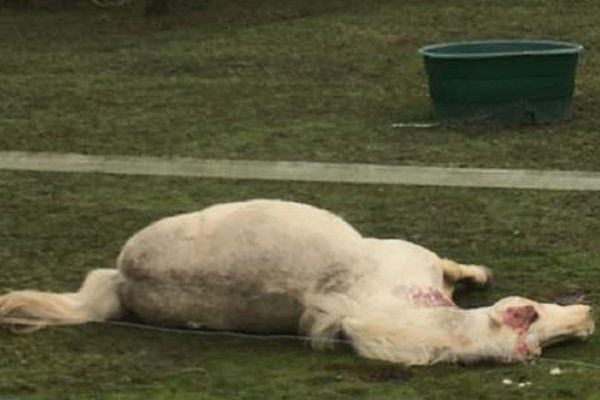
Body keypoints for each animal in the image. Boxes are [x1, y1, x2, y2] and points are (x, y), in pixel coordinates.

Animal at [0, 200, 592, 366]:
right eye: (536, 313)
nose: (588, 318)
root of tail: (122, 277)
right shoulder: (408, 255)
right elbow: (454, 266)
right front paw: (479, 273)